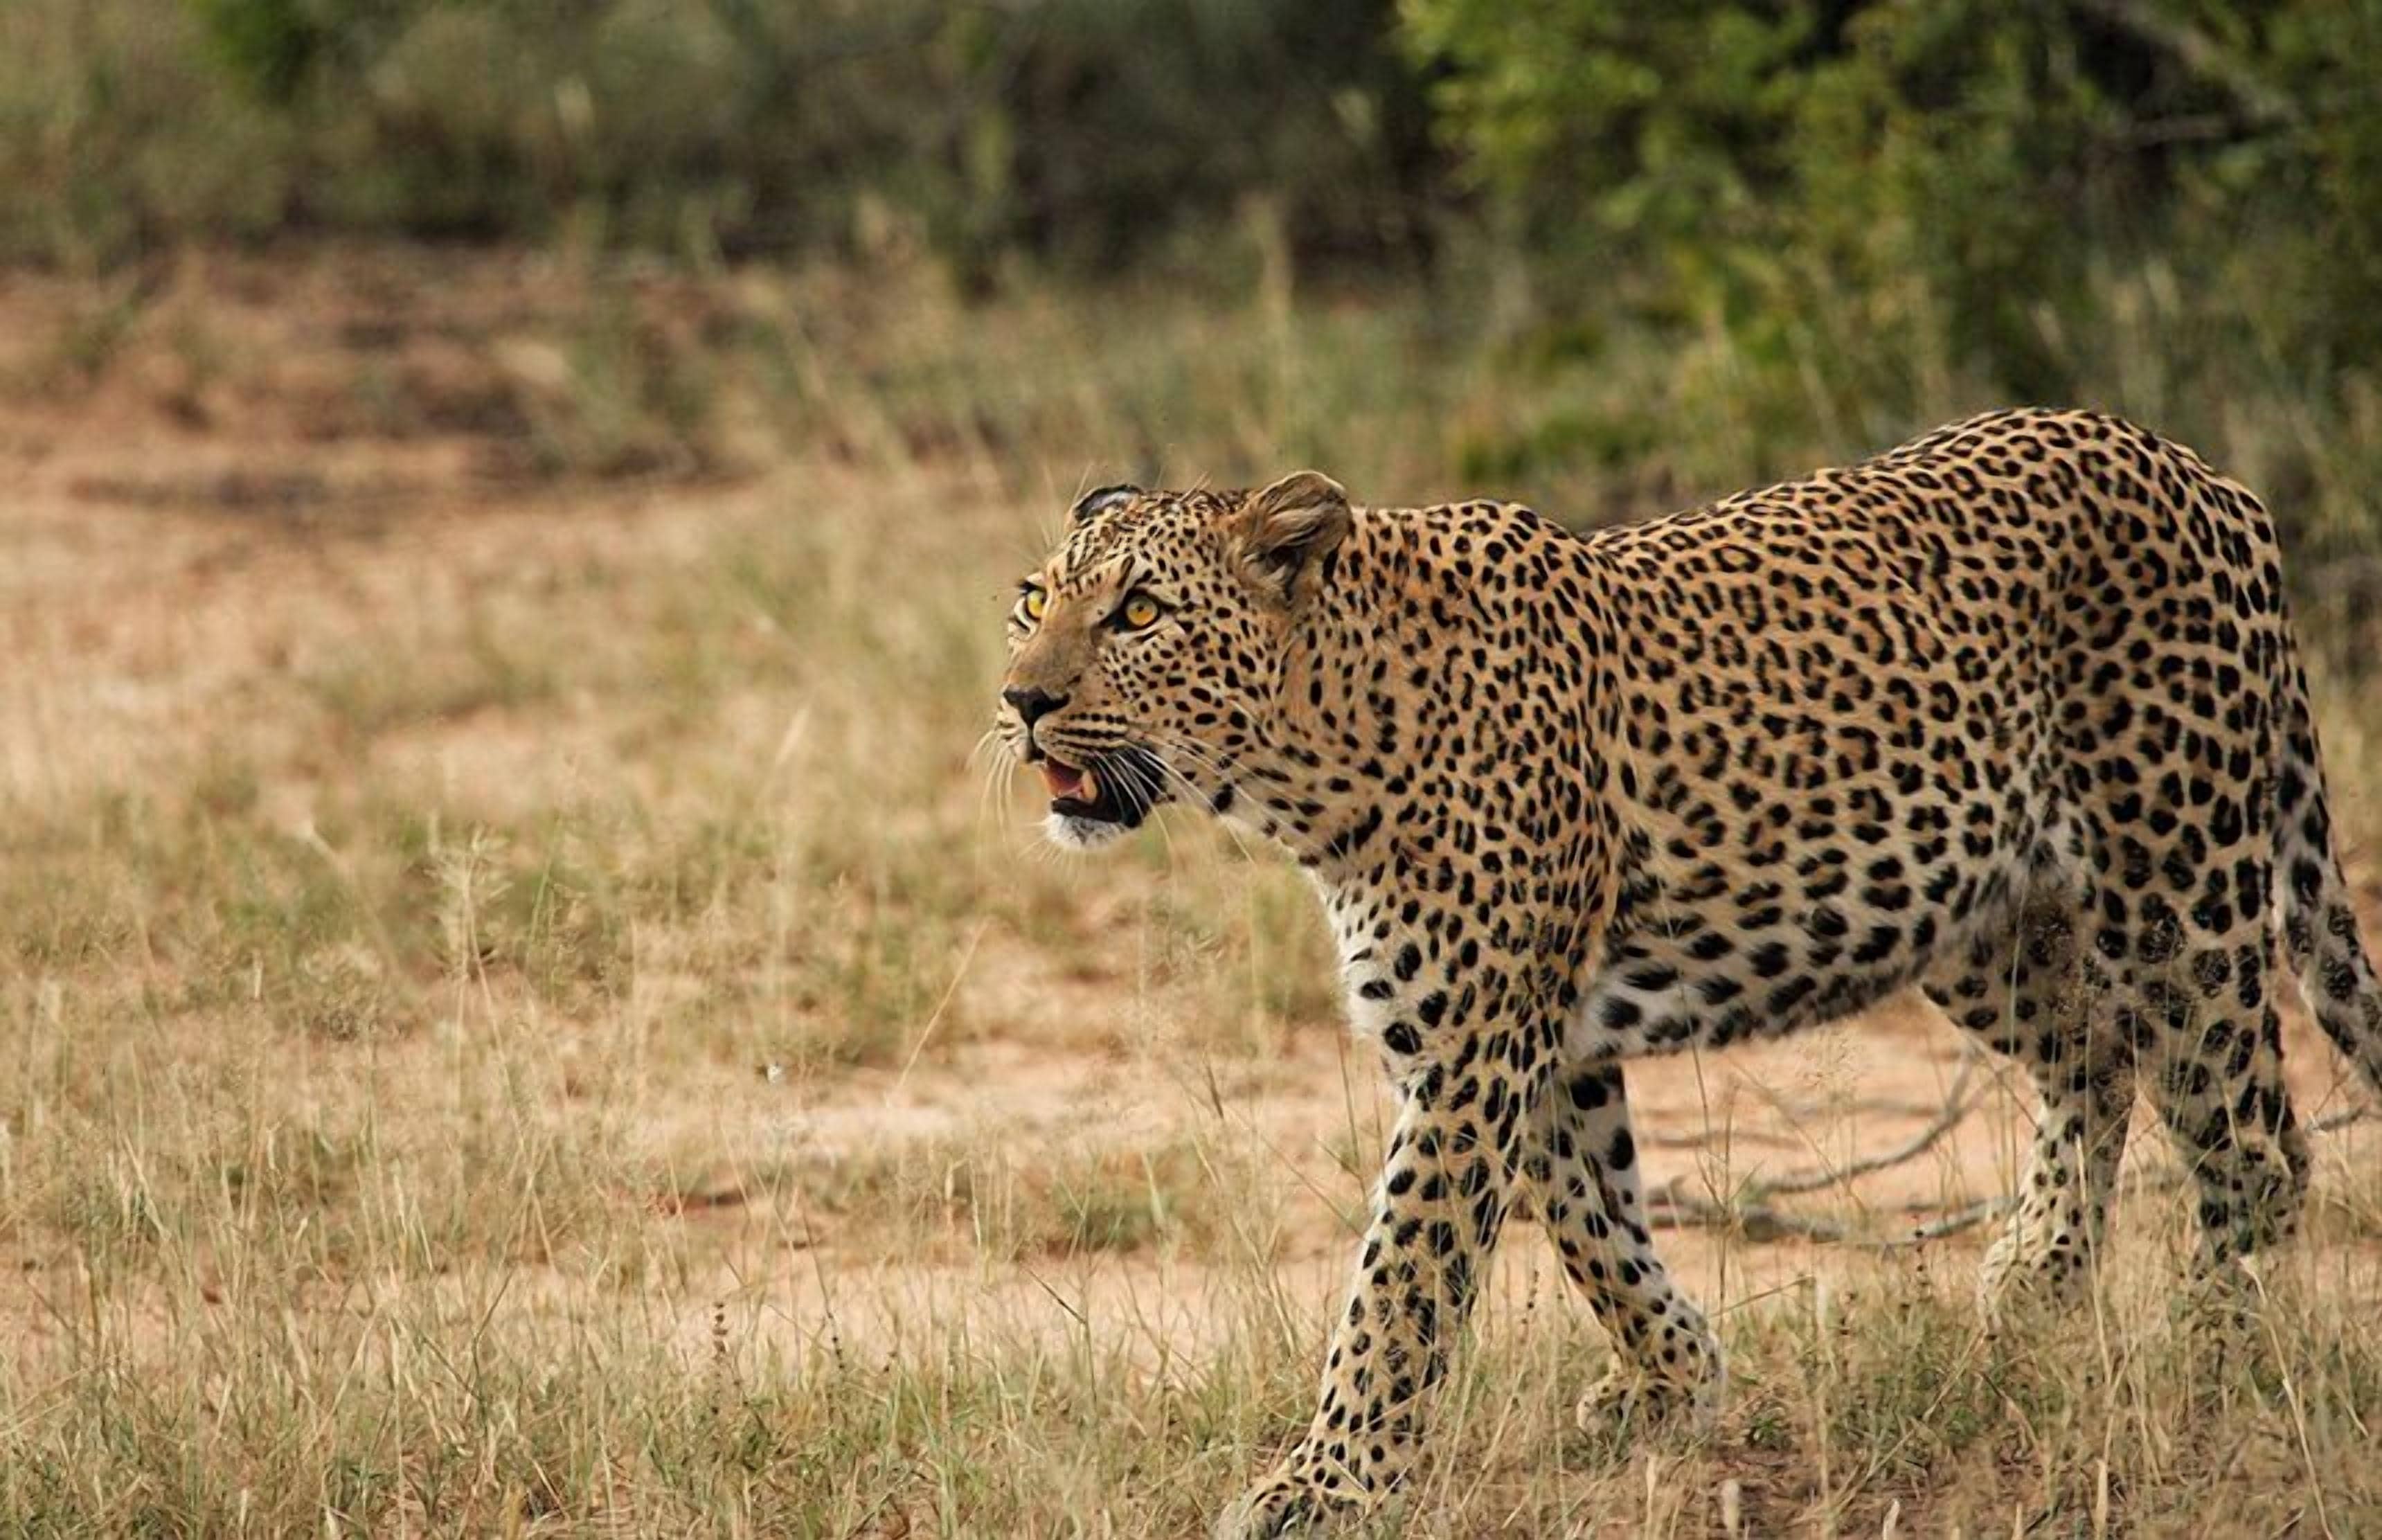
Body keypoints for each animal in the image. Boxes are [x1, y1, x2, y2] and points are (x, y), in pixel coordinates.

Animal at [993, 408, 2382, 1537]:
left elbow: (1399, 1283)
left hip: (2178, 887)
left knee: (2253, 1137)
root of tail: (2208, 474)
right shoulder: (1536, 1043)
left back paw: (2208, 1360)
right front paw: (1675, 1380)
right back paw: (2037, 1278)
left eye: (1139, 613)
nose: (1019, 700)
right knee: (2095, 1051)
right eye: (1031, 600)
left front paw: (1325, 1489)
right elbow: (1593, 1223)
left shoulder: (1473, 1054)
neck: (1318, 756)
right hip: (1973, 912)